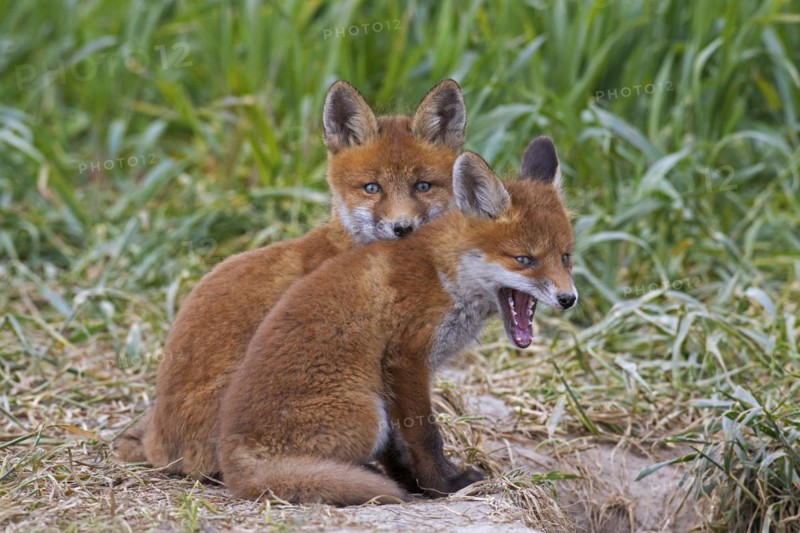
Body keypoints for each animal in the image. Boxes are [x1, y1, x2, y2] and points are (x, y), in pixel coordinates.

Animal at [217, 136, 577, 505]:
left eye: (566, 257)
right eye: (525, 260)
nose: (569, 299)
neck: (444, 273)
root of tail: (231, 454)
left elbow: (401, 446)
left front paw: (416, 480)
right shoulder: (406, 358)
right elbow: (425, 435)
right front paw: (443, 485)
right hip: (367, 413)